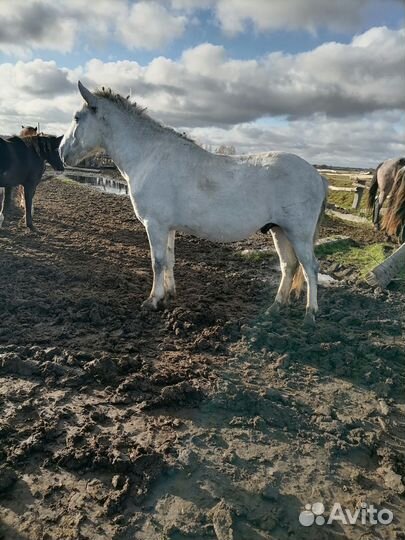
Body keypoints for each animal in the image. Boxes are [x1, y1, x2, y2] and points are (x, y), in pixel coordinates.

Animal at [58, 82, 326, 322]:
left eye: (77, 117)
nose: (61, 152)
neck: (149, 156)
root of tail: (317, 176)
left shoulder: (154, 225)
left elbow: (157, 262)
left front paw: (152, 301)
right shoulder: (167, 228)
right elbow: (169, 260)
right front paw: (168, 295)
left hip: (298, 233)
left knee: (310, 267)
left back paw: (310, 314)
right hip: (279, 230)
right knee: (289, 266)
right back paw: (275, 307)